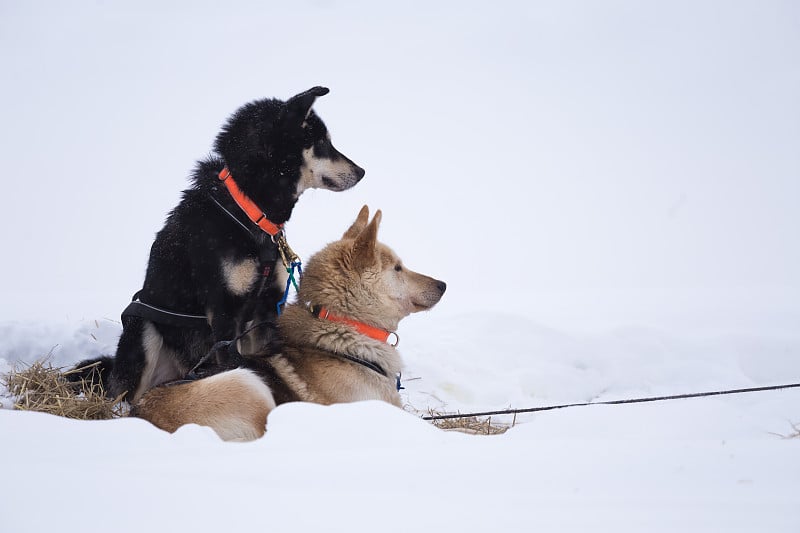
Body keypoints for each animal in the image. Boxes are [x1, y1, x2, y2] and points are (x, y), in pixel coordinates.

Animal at [73, 86, 364, 400]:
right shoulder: (224, 313)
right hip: (142, 329)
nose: (361, 171)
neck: (247, 211)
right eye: (322, 143)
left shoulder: (266, 310)